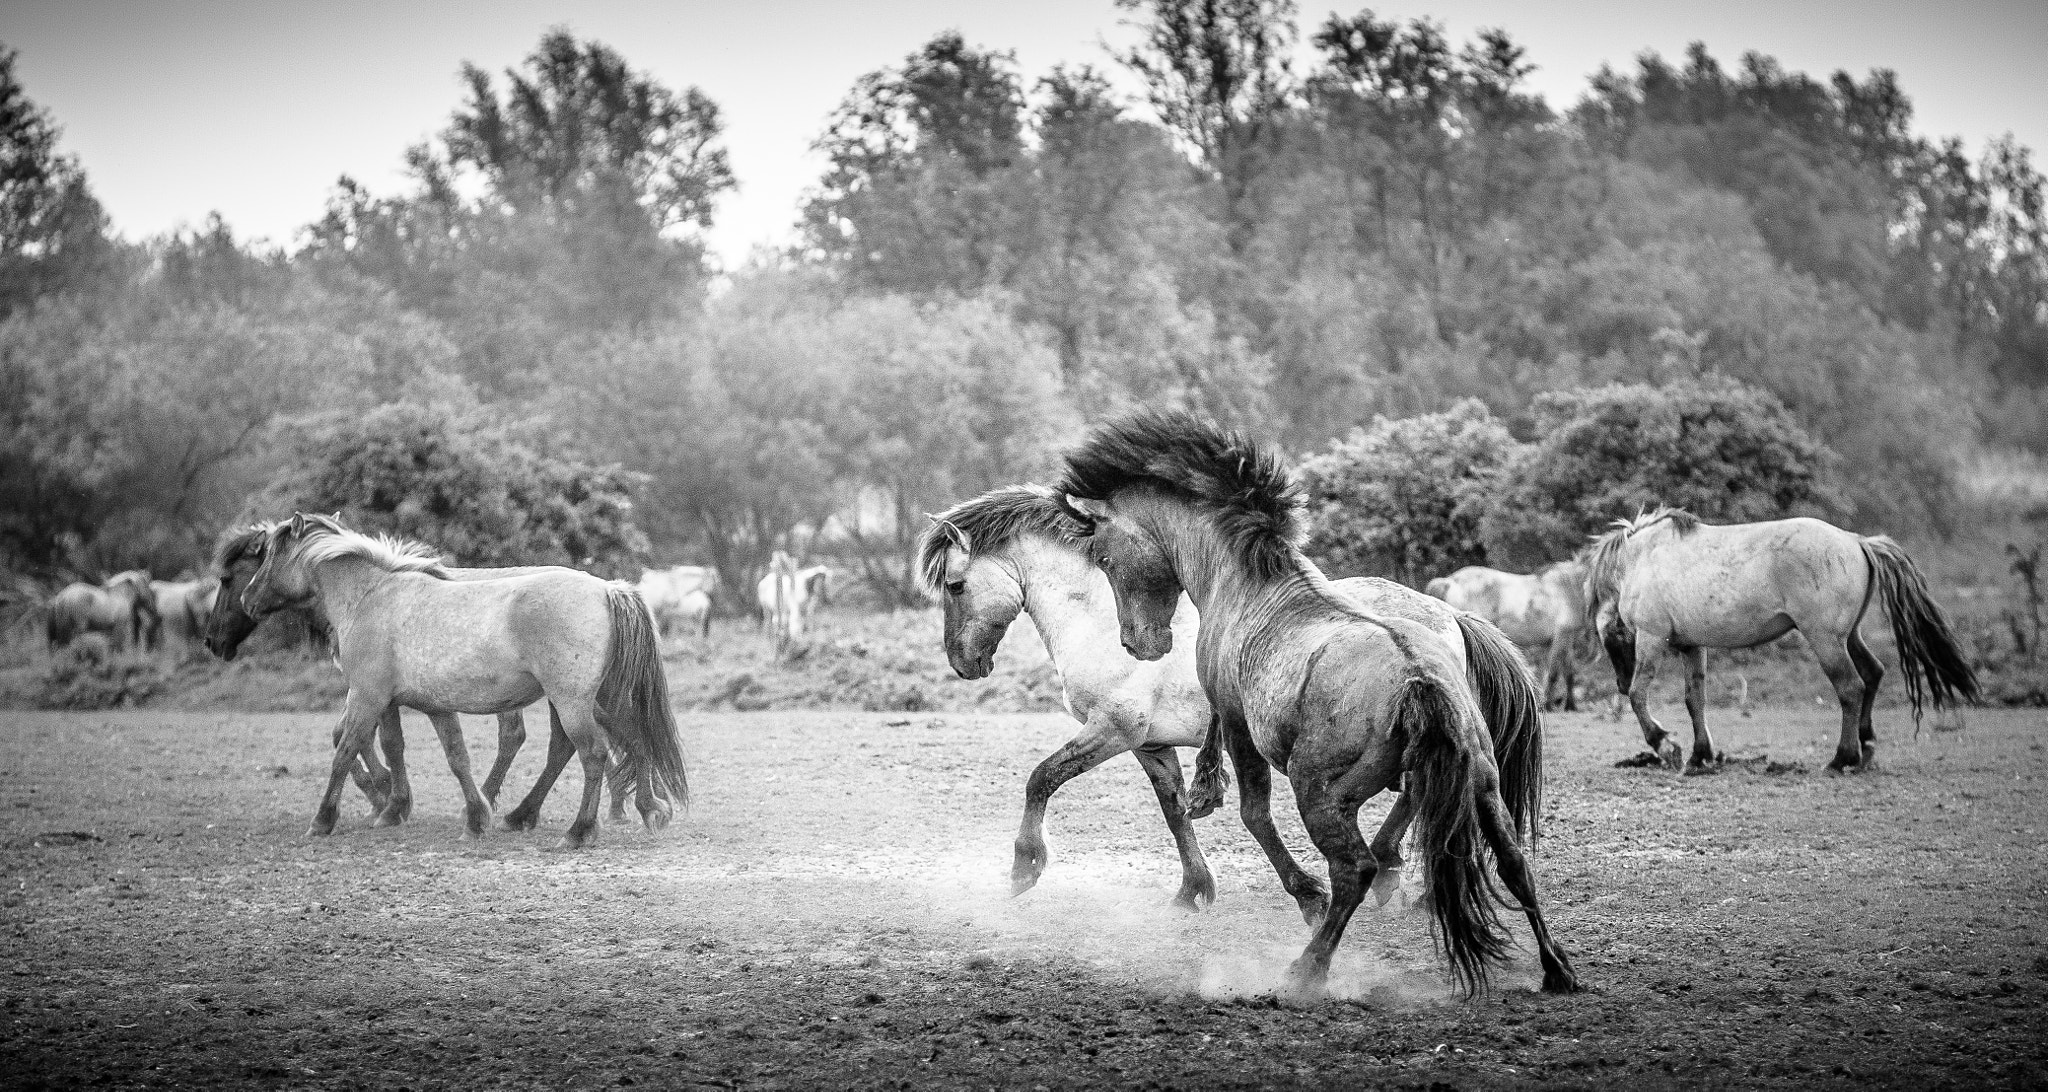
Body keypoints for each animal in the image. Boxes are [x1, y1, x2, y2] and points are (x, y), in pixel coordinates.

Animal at [229, 514, 684, 848]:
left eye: (269, 556)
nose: (247, 600)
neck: (371, 597)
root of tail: (605, 589)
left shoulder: (367, 697)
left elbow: (345, 751)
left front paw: (324, 820)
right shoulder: (433, 705)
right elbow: (455, 756)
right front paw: (475, 817)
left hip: (573, 701)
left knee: (592, 753)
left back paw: (578, 831)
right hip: (592, 700)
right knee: (615, 741)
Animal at [921, 483, 1540, 909]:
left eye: (956, 585)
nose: (964, 664)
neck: (1102, 617)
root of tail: (1448, 615)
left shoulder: (1112, 730)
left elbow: (1041, 778)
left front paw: (1025, 868)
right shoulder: (1150, 745)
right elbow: (1175, 812)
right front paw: (1194, 890)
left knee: (1414, 795)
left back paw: (1386, 870)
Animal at [1425, 561, 1581, 704]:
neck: (1567, 587)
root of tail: (1450, 580)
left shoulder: (1553, 641)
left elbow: (1566, 670)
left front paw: (1569, 704)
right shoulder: (1562, 635)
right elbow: (1554, 672)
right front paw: (1552, 704)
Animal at [1572, 506, 1974, 770]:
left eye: (1607, 639)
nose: (1618, 682)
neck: (1643, 560)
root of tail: (1856, 541)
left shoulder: (1652, 638)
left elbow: (1640, 696)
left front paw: (1665, 744)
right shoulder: (1692, 645)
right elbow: (1694, 699)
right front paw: (1701, 755)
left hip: (1825, 640)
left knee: (1851, 687)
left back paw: (1842, 758)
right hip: (1848, 637)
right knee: (1873, 674)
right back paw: (1866, 746)